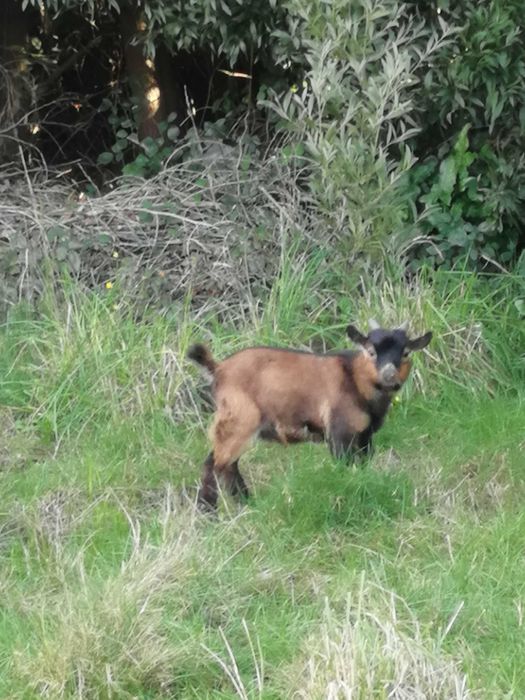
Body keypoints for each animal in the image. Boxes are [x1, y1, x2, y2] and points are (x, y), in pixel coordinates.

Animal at [188, 320, 432, 510]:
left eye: (406, 352)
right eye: (371, 351)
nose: (389, 375)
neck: (355, 379)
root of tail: (218, 369)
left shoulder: (365, 436)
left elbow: (364, 465)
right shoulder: (339, 432)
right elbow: (344, 466)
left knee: (226, 465)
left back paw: (245, 503)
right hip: (238, 421)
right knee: (214, 465)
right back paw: (209, 512)